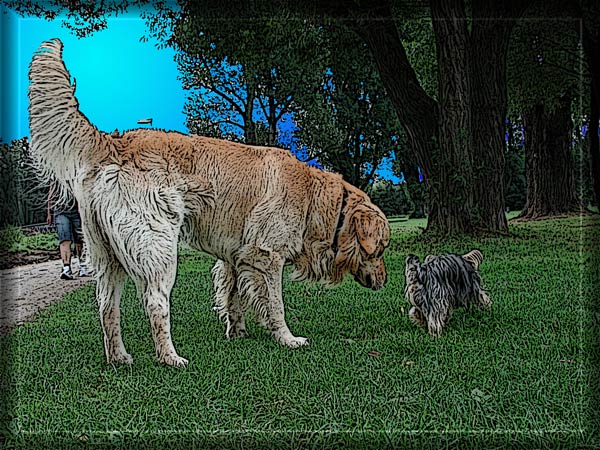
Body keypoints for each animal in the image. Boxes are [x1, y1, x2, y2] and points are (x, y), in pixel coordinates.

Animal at [28, 38, 392, 368]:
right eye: (380, 249)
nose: (386, 281)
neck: (317, 198)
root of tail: (114, 141)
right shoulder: (267, 256)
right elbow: (275, 305)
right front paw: (287, 339)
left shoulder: (236, 257)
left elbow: (233, 296)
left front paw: (237, 332)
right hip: (158, 249)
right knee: (155, 303)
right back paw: (170, 358)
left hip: (107, 257)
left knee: (106, 306)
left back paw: (119, 358)